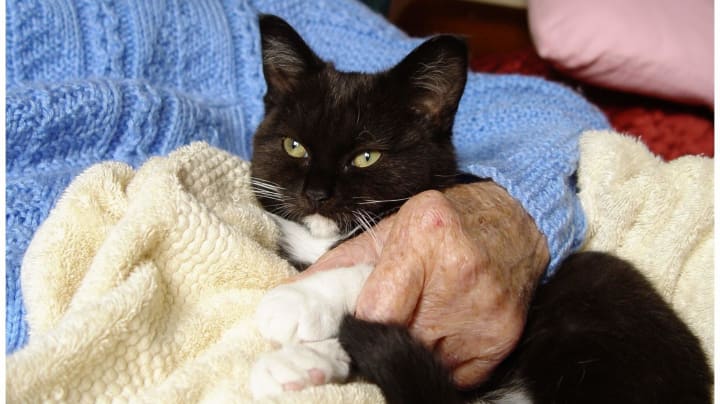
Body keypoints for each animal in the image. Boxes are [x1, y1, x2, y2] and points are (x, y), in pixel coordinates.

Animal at [246, 14, 708, 404]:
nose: (316, 193)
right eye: (294, 146)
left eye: (366, 157)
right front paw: (298, 362)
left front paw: (299, 299)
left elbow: (380, 263)